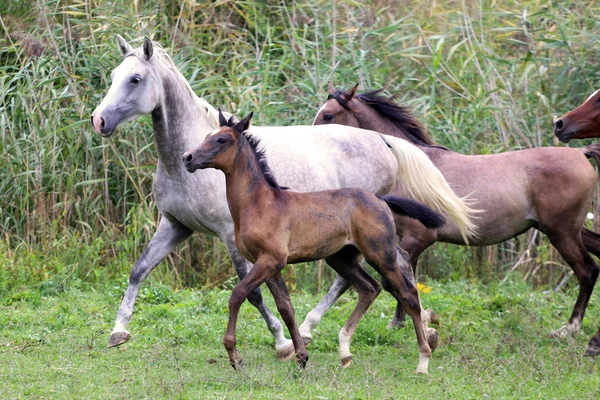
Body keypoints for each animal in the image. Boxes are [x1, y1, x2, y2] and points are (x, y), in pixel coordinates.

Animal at [183, 110, 446, 376]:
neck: (259, 204)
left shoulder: (269, 260)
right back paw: (345, 353)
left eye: (222, 139)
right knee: (369, 288)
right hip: (341, 258)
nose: (187, 157)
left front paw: (234, 356)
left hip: (381, 254)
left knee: (407, 294)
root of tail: (380, 200)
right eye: (207, 135)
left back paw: (423, 360)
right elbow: (286, 308)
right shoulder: (271, 265)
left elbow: (237, 295)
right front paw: (301, 357)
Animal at [308, 83, 600, 356]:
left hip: (561, 231)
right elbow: (402, 279)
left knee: (587, 270)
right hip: (567, 229)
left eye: (328, 115)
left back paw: (569, 330)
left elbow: (397, 281)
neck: (409, 166)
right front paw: (405, 324)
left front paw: (411, 326)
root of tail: (581, 153)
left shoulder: (419, 237)